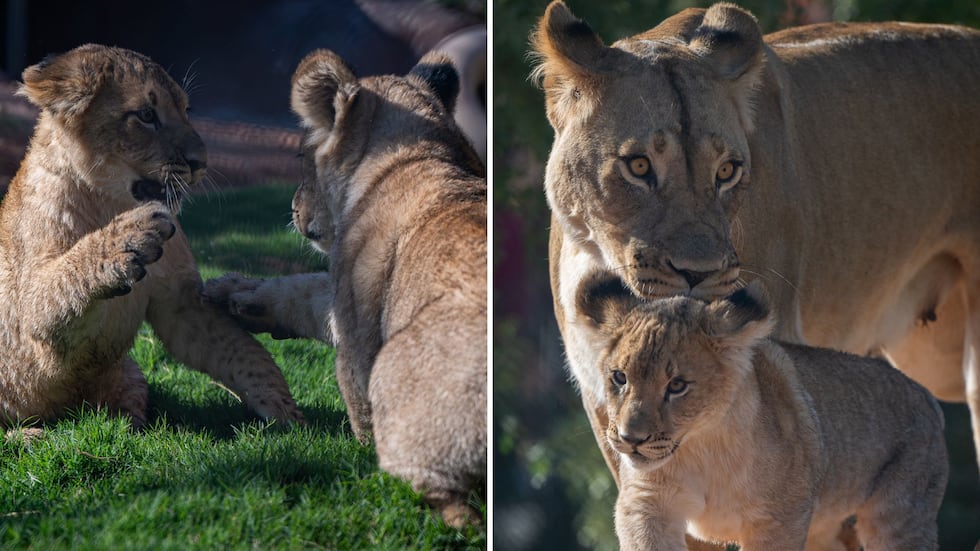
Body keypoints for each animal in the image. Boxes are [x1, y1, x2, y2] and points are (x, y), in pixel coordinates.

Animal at [0, 44, 304, 429]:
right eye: (146, 115)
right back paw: (29, 433)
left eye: (186, 110)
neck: (110, 202)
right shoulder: (31, 319)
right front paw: (129, 237)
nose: (201, 162)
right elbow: (66, 276)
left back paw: (125, 421)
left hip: (128, 372)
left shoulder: (181, 303)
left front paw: (288, 411)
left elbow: (243, 352)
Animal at [205, 49, 487, 526]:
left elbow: (356, 397)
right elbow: (305, 292)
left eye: (302, 153)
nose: (293, 208)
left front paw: (360, 447)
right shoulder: (343, 289)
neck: (424, 154)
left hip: (400, 357)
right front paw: (232, 294)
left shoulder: (358, 336)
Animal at [578, 276, 948, 550]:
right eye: (619, 377)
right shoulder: (647, 505)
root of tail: (925, 395)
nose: (630, 439)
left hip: (898, 517)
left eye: (677, 385)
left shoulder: (780, 519)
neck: (702, 449)